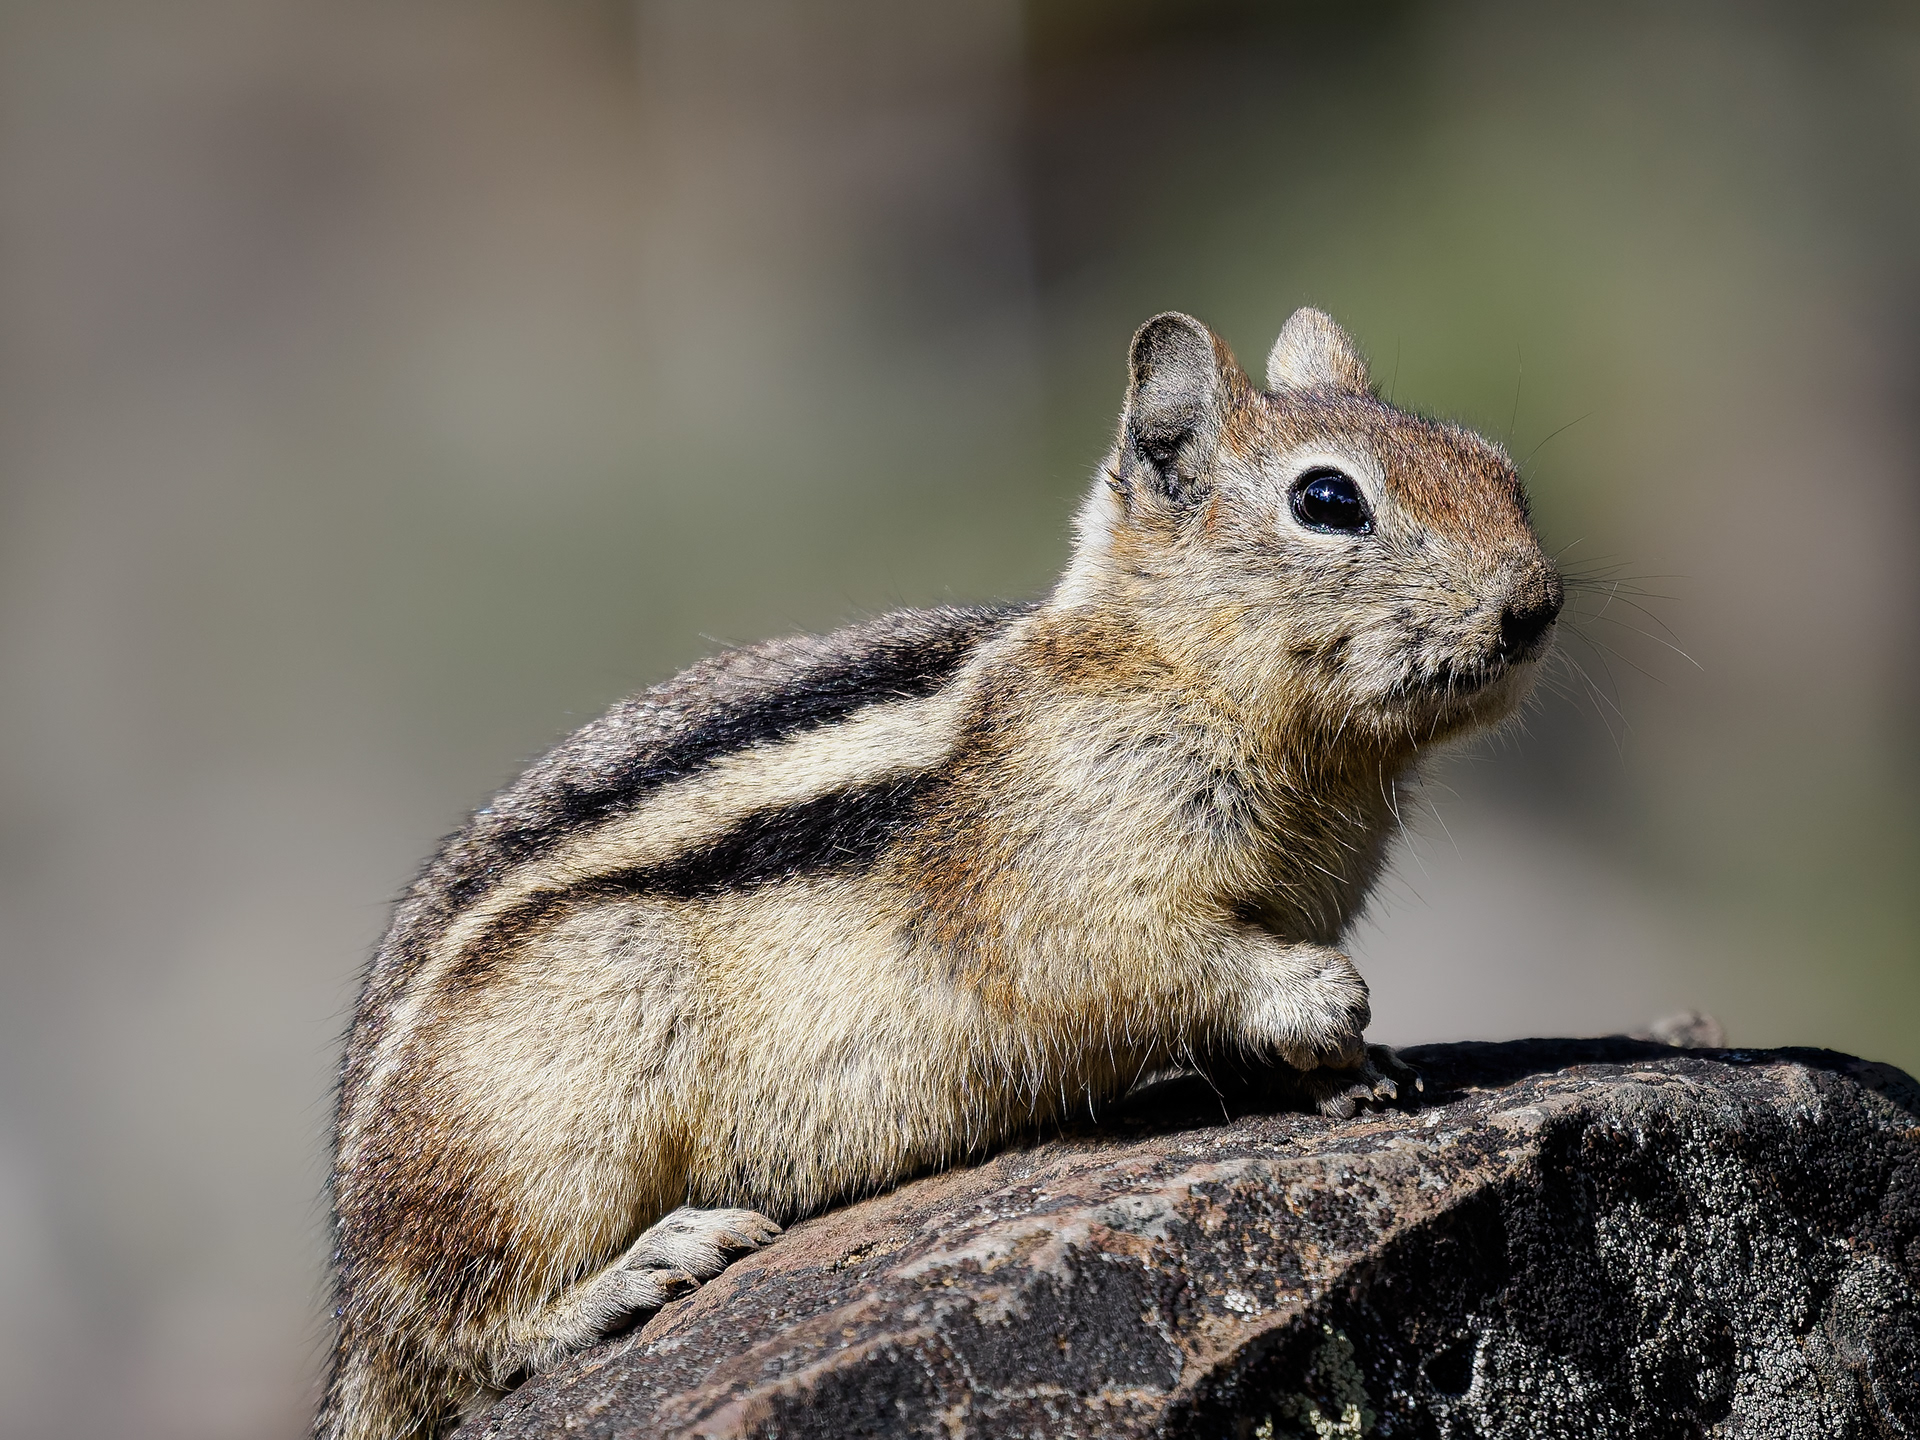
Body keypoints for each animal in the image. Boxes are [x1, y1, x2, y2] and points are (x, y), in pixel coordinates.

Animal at [316, 307, 1563, 1440]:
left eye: (1501, 469)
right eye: (1327, 501)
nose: (1537, 603)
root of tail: (352, 1297)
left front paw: (1357, 1069)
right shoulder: (1059, 881)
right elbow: (1139, 966)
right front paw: (1325, 999)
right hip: (554, 1105)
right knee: (463, 1331)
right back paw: (643, 1270)